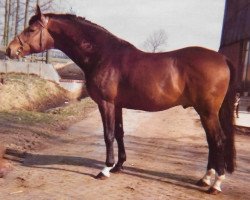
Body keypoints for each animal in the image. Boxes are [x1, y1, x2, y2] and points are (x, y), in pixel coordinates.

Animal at [6, 5, 236, 195]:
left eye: (31, 30)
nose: (10, 50)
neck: (102, 55)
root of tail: (222, 58)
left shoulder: (105, 103)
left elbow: (108, 135)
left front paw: (105, 169)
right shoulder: (117, 106)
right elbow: (119, 133)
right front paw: (118, 166)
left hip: (207, 111)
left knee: (218, 140)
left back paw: (215, 184)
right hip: (205, 112)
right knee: (212, 142)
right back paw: (205, 179)